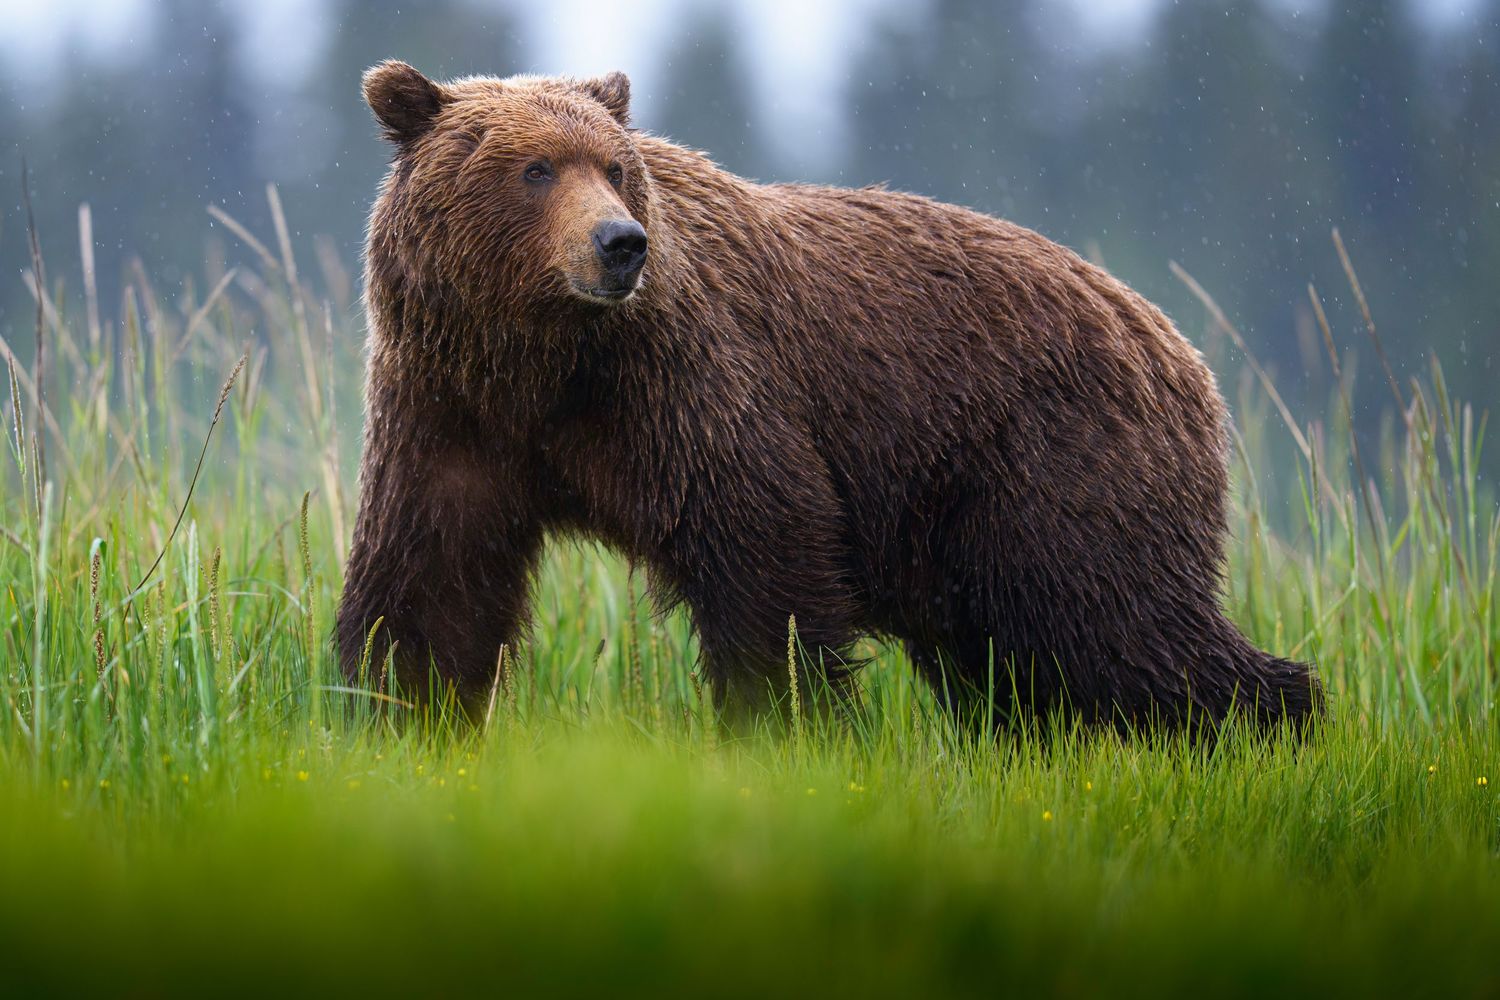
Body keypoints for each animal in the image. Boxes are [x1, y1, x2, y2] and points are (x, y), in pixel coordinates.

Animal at [337, 60, 1322, 732]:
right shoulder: (451, 409)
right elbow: (431, 579)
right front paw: (400, 712)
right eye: (535, 168)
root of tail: (1178, 347)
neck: (544, 361)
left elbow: (763, 546)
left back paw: (1276, 720)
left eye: (613, 168)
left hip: (1056, 461)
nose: (619, 244)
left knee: (1121, 622)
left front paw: (781, 720)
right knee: (1012, 661)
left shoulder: (686, 385)